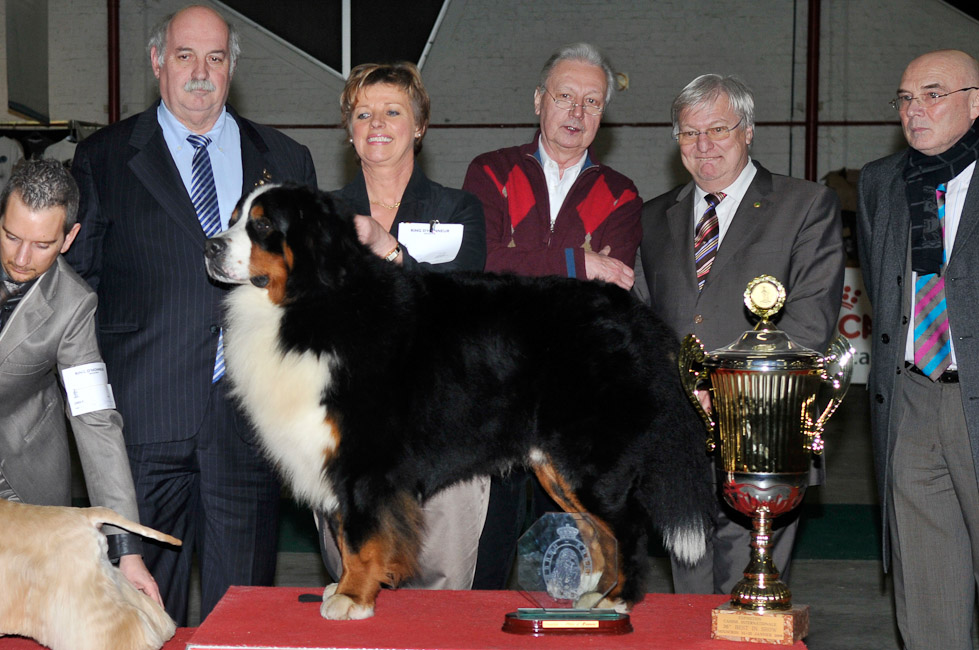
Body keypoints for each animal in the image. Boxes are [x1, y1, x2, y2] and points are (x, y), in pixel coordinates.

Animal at [203, 181, 716, 616]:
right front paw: (345, 587)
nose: (210, 246)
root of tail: (635, 314)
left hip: (592, 459)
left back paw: (618, 599)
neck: (314, 303)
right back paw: (596, 593)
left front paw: (352, 597)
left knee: (626, 529)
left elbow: (362, 535)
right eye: (234, 218)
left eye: (263, 226)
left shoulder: (364, 458)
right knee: (598, 531)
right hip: (556, 467)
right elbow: (349, 537)